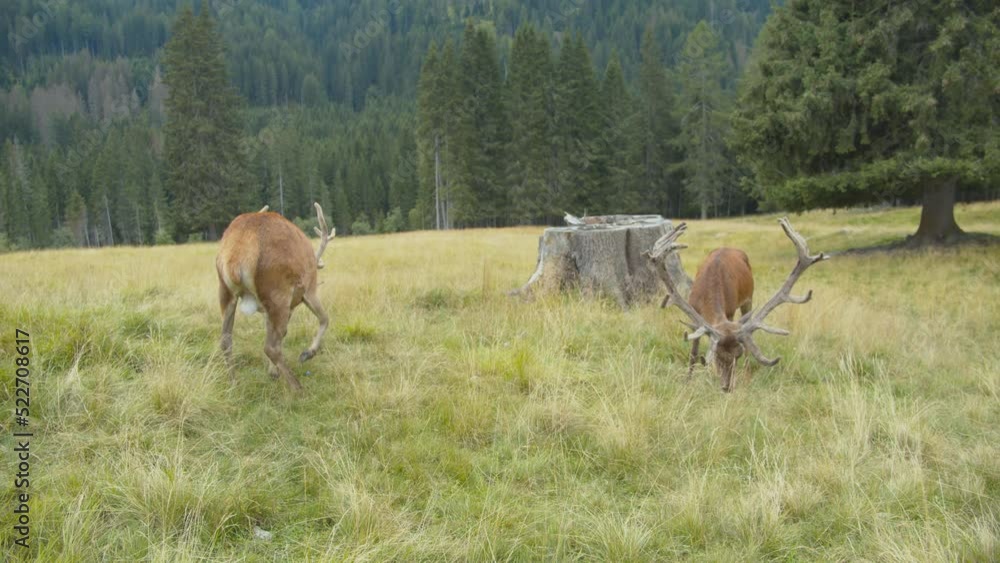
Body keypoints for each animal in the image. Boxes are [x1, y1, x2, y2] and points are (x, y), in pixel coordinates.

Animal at [216, 203, 333, 391]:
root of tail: (237, 253)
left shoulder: (266, 308)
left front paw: (272, 371)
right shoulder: (309, 289)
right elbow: (325, 319)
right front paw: (307, 353)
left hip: (225, 290)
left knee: (226, 340)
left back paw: (234, 383)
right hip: (277, 290)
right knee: (271, 347)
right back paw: (297, 387)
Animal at [646, 218, 828, 392]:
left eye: (737, 356)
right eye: (717, 356)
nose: (727, 387)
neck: (710, 287)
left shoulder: (730, 311)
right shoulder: (694, 312)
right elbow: (693, 351)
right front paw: (688, 380)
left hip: (748, 299)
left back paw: (747, 377)